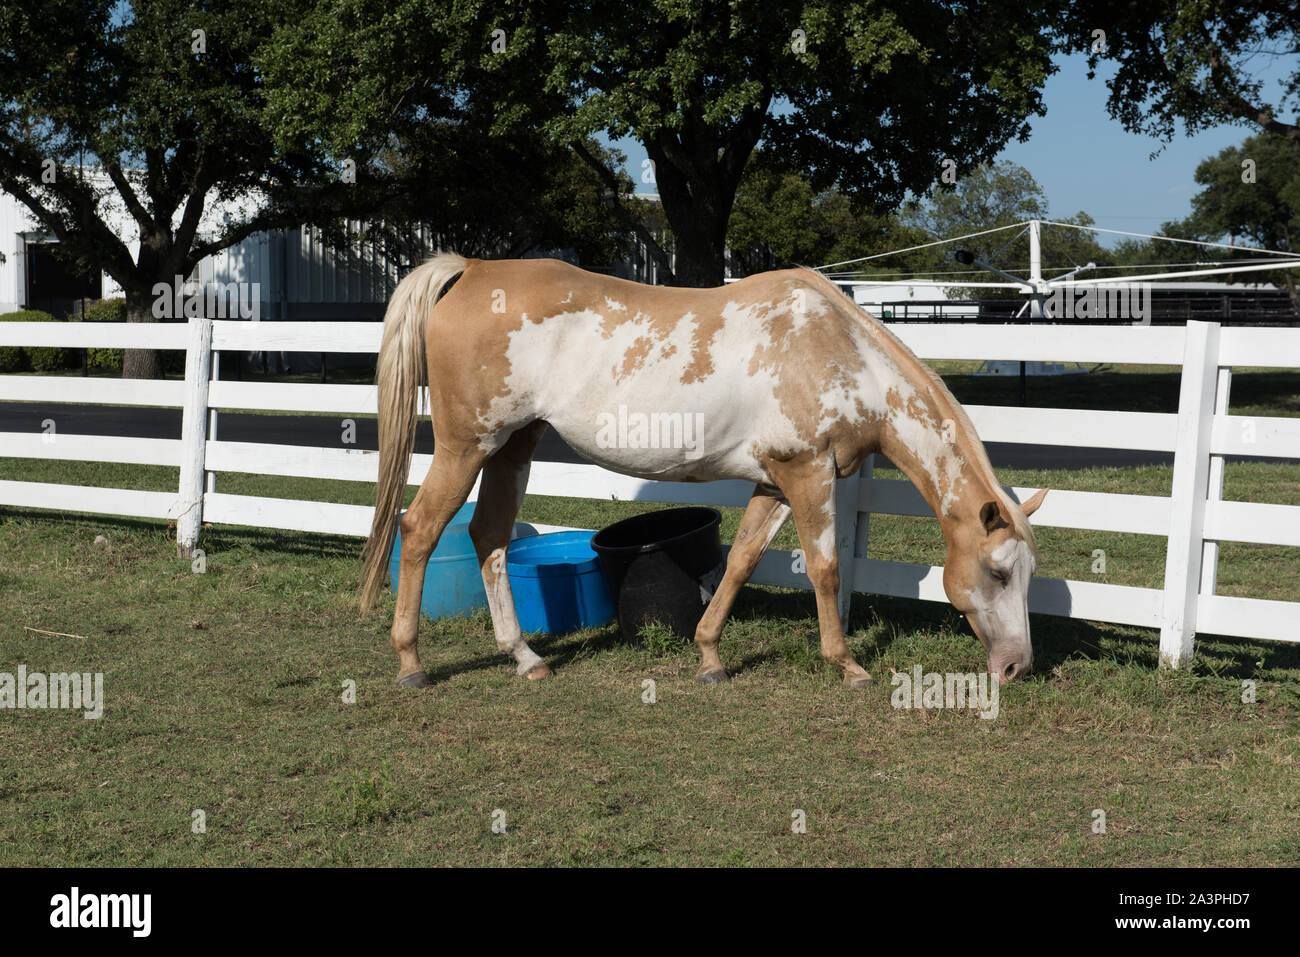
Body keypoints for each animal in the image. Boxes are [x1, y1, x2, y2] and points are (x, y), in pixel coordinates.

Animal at [360, 253, 1048, 689]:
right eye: (997, 572)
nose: (1018, 668)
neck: (841, 352)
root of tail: (472, 270)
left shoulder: (775, 480)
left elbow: (740, 561)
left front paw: (710, 656)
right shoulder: (809, 474)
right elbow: (824, 570)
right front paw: (847, 666)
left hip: (512, 447)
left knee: (491, 538)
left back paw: (525, 658)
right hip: (466, 446)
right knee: (418, 530)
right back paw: (411, 664)